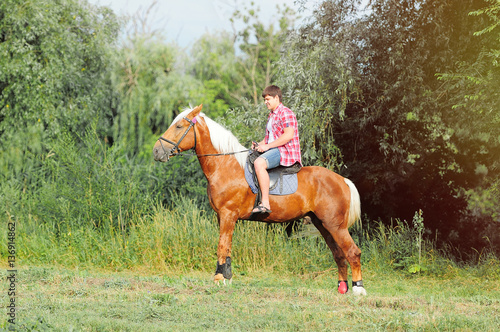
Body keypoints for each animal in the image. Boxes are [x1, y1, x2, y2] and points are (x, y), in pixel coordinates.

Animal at [152, 105, 368, 294]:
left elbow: (222, 246)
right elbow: (227, 246)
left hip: (335, 225)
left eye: (179, 126)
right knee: (339, 254)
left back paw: (358, 289)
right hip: (323, 224)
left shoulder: (228, 214)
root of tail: (342, 180)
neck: (226, 165)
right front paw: (227, 277)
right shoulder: (223, 217)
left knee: (352, 252)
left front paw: (219, 279)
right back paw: (342, 288)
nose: (156, 151)